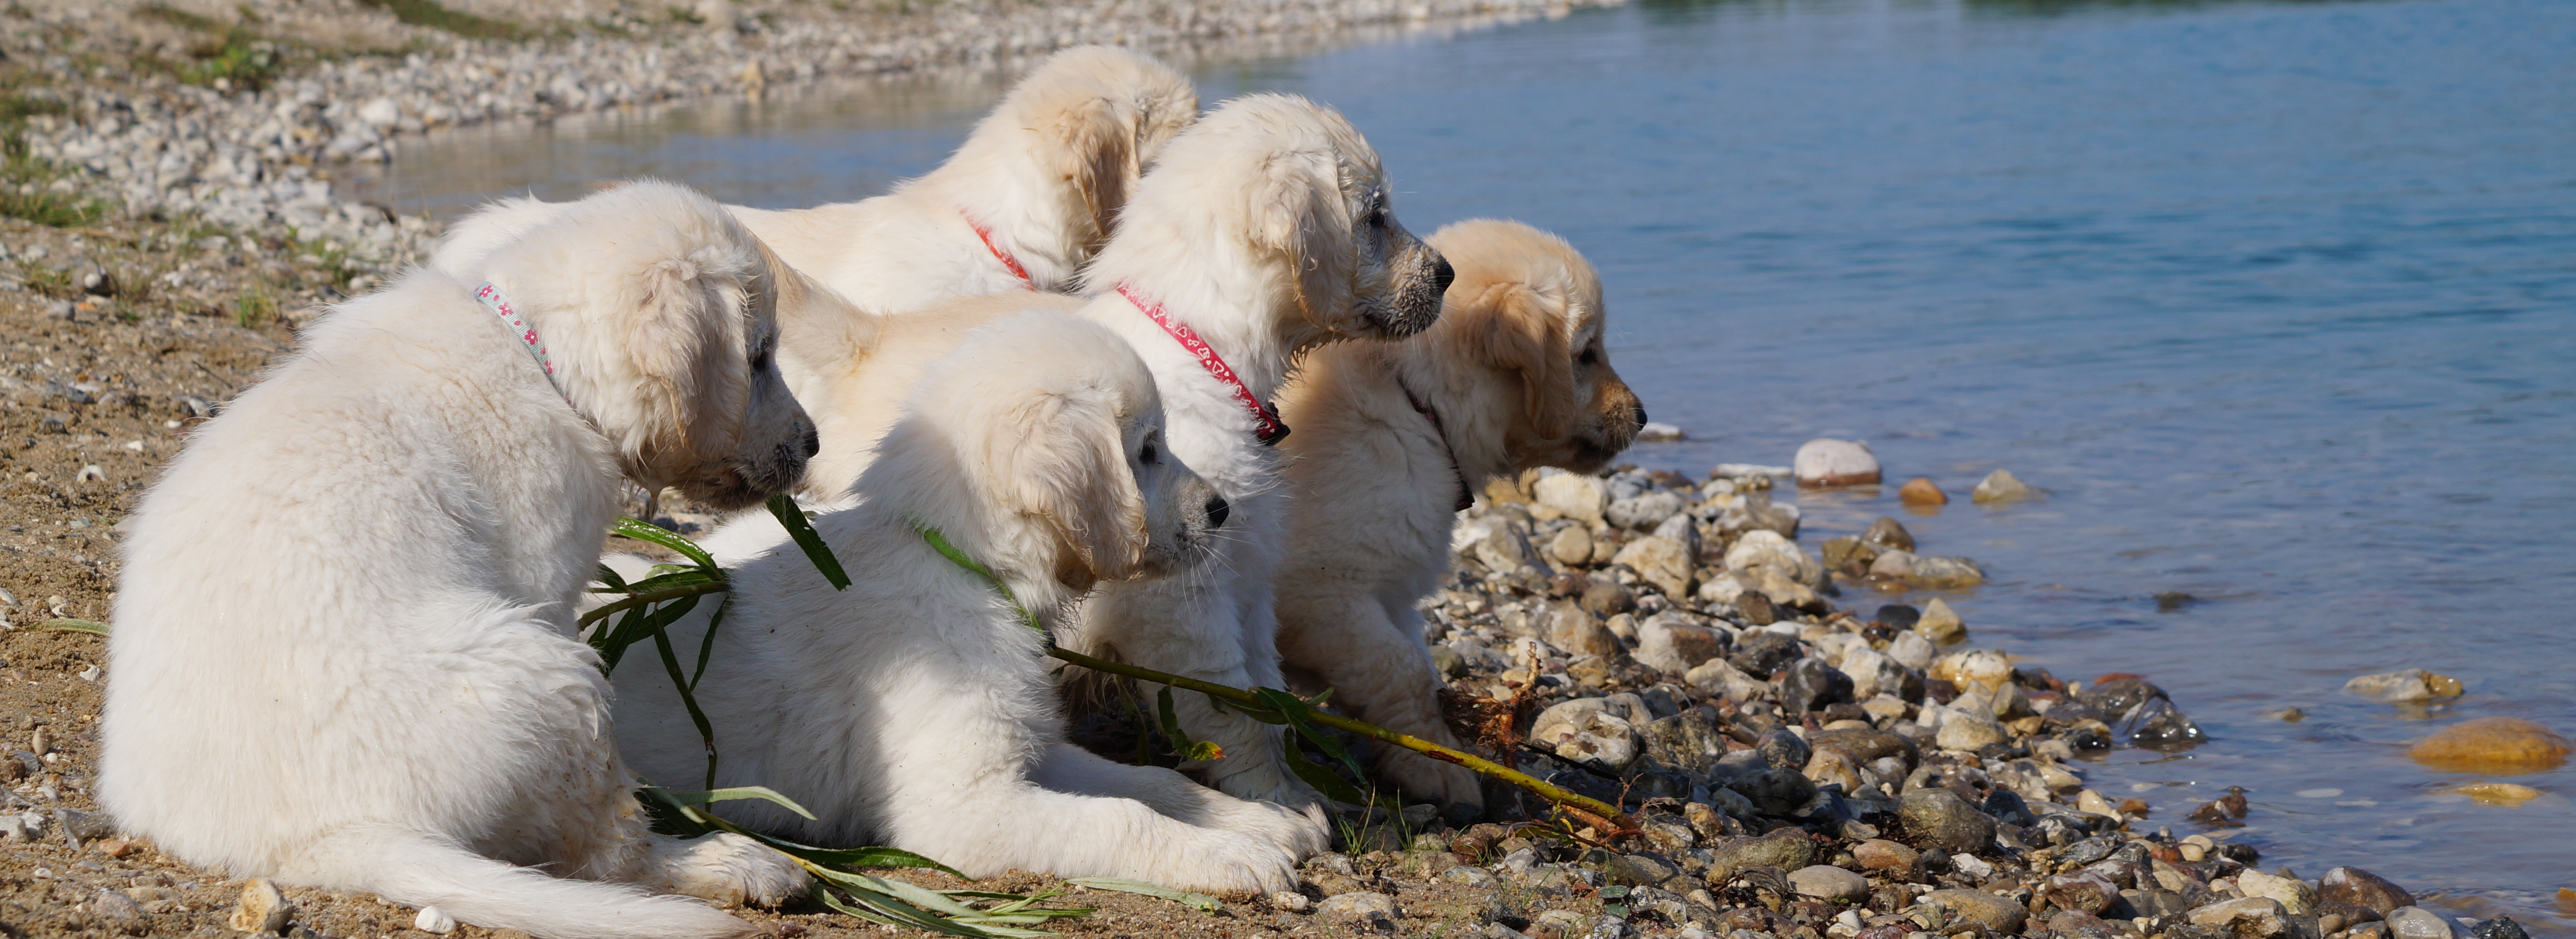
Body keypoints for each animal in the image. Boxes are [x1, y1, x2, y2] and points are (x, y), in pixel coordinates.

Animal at [98, 181, 824, 939]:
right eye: (759, 356)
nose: (814, 444)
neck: (534, 352)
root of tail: (304, 844)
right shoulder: (546, 581)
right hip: (549, 677)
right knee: (612, 853)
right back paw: (729, 862)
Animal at [613, 313, 1319, 892]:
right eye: (1146, 450)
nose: (1220, 511)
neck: (963, 564)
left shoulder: (1033, 748)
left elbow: (1155, 783)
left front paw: (1262, 820)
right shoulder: (963, 809)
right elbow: (1119, 818)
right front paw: (1230, 855)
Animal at [695, 93, 1463, 815]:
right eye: (1375, 216)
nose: (1447, 274)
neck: (1203, 348)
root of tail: (867, 342)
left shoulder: (1246, 569)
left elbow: (1265, 691)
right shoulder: (1178, 601)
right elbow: (1234, 711)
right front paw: (1280, 801)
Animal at [1273, 218, 1649, 815]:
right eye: (1587, 353)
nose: (1642, 416)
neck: (1416, 406)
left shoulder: (1390, 591)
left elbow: (1421, 672)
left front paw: (1434, 748)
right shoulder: (1321, 594)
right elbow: (1399, 671)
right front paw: (1435, 767)